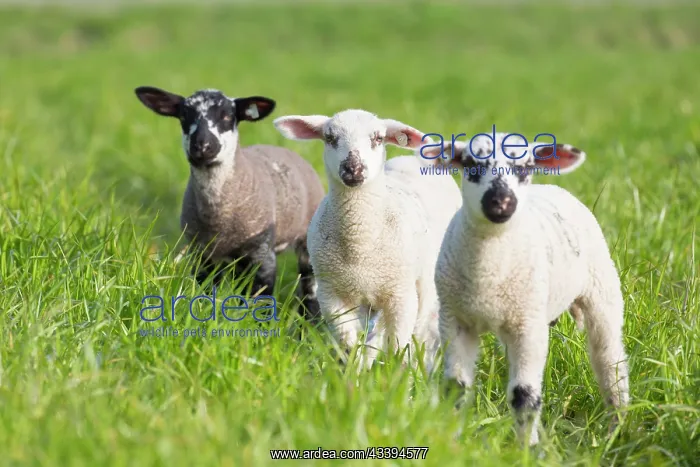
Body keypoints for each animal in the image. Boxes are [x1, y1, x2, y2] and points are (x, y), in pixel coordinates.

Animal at [133, 86, 325, 320]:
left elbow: (262, 302)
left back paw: (310, 321)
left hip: (306, 241)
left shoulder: (261, 253)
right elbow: (206, 294)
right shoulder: (202, 254)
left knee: (310, 287)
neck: (219, 214)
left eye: (227, 116)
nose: (202, 146)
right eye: (184, 115)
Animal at [272, 109, 462, 371]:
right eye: (330, 138)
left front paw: (395, 377)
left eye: (378, 138)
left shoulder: (401, 296)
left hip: (424, 284)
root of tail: (414, 159)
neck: (359, 246)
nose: (353, 169)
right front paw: (354, 372)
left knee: (420, 329)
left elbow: (398, 346)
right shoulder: (332, 296)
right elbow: (349, 343)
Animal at [420, 132, 629, 446]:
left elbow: (524, 396)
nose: (500, 201)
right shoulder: (455, 321)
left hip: (601, 292)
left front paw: (526, 449)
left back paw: (616, 427)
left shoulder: (528, 327)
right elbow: (456, 388)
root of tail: (552, 186)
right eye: (470, 164)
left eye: (526, 167)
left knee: (610, 361)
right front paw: (453, 440)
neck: (488, 276)